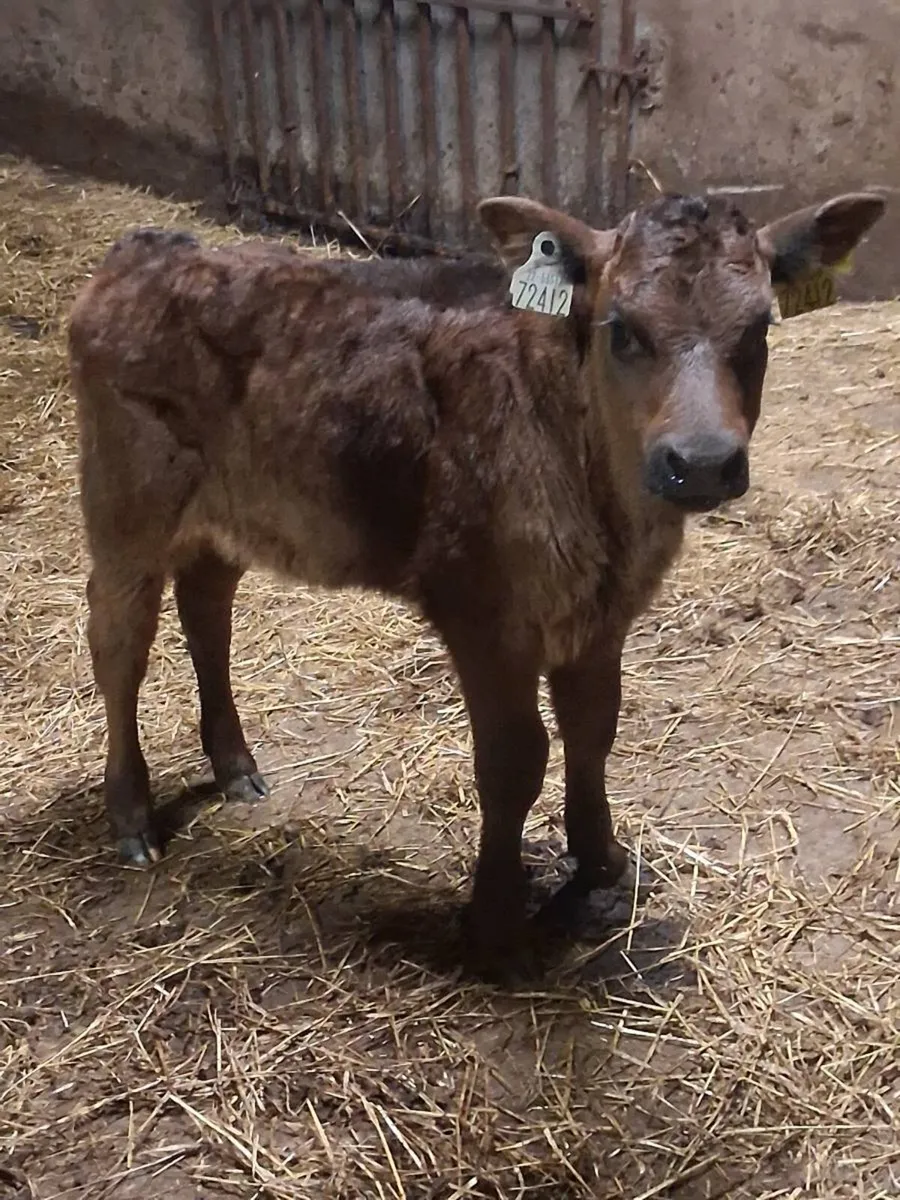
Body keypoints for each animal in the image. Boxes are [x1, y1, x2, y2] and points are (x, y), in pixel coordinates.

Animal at [68, 190, 884, 974]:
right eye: (622, 329)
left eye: (759, 329)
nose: (704, 462)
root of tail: (147, 248)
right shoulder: (483, 614)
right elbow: (515, 759)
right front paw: (495, 923)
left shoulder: (603, 614)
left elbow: (595, 730)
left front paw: (600, 865)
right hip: (126, 502)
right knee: (118, 641)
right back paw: (132, 818)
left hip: (229, 512)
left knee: (208, 612)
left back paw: (236, 767)